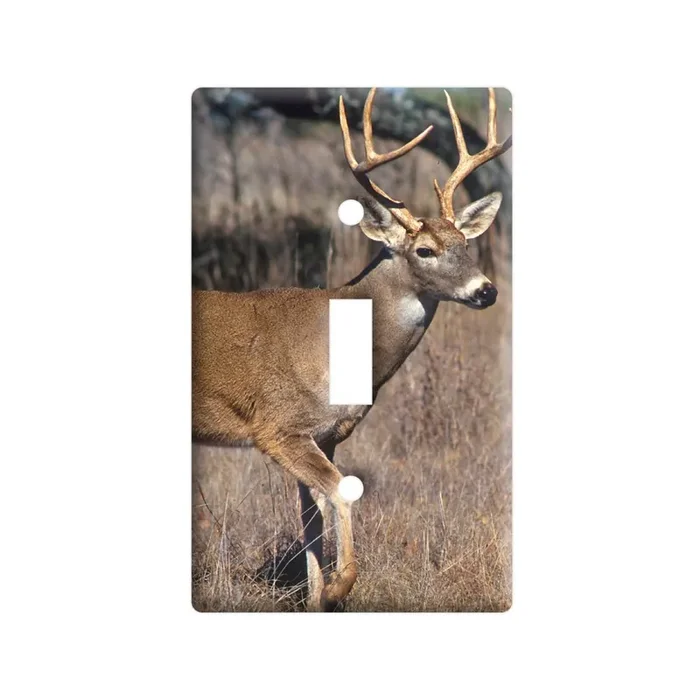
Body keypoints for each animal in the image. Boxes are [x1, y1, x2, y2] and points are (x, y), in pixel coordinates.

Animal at [193, 87, 512, 611]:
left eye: (465, 244)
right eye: (424, 250)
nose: (487, 290)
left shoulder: (327, 435)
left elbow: (311, 516)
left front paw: (318, 596)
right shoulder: (276, 425)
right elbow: (339, 493)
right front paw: (342, 584)